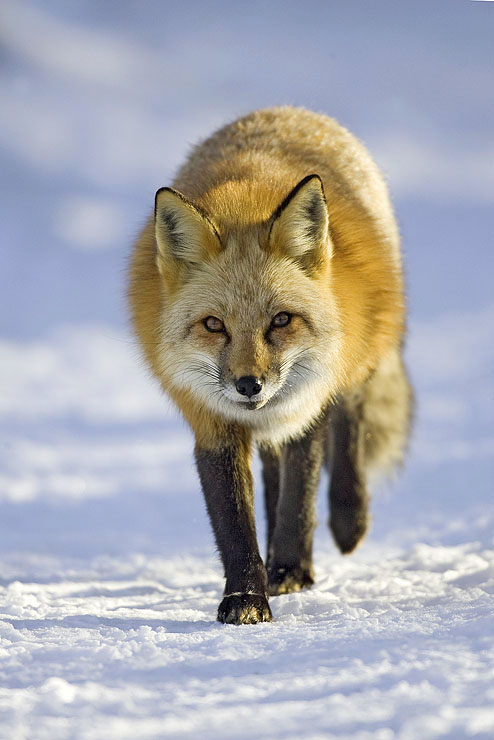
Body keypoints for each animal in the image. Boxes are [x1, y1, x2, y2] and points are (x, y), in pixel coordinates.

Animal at [128, 106, 412, 625]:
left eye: (281, 320)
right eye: (214, 325)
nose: (249, 385)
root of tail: (283, 110)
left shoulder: (307, 409)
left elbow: (300, 497)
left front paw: (291, 572)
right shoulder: (213, 423)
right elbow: (235, 522)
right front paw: (246, 597)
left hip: (359, 361)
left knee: (349, 430)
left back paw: (348, 519)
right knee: (272, 472)